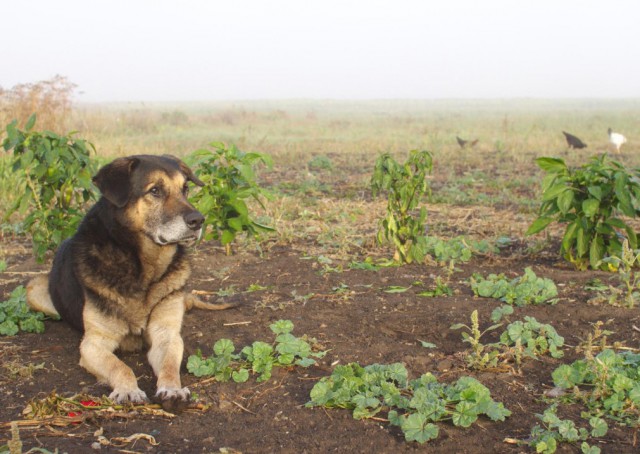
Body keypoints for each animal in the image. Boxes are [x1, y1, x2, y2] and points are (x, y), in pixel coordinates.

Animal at [26, 153, 229, 412]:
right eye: (155, 191)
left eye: (185, 189)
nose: (198, 220)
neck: (144, 269)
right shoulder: (93, 344)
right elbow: (120, 366)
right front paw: (128, 390)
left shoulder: (166, 335)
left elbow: (170, 364)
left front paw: (172, 389)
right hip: (34, 290)